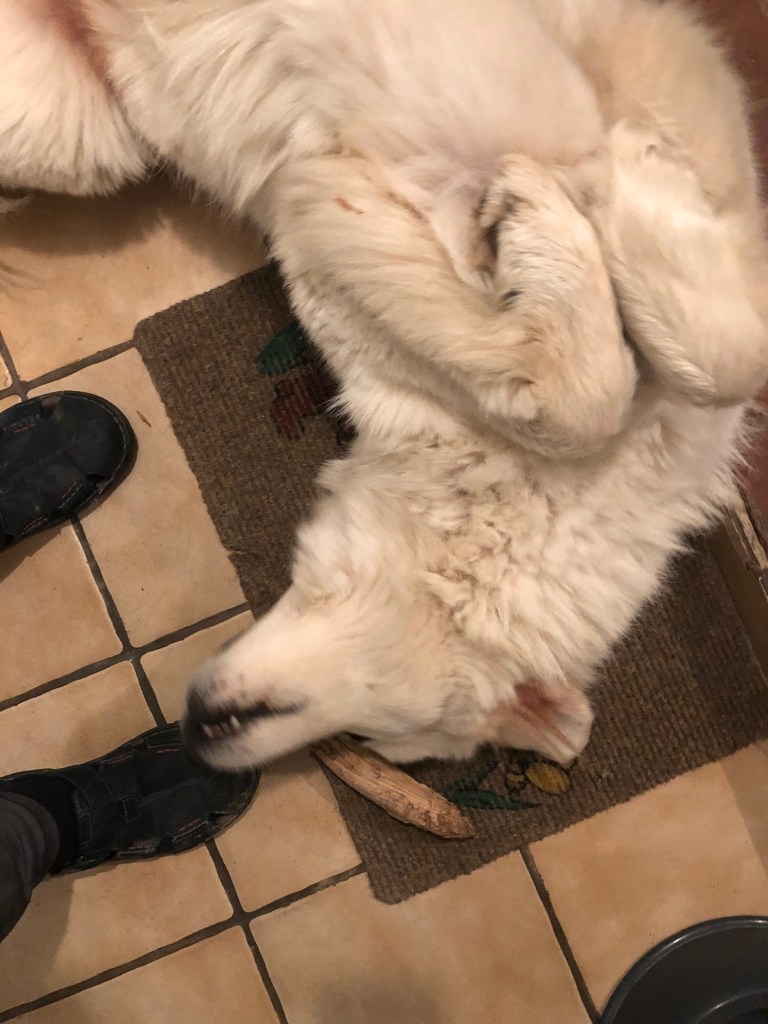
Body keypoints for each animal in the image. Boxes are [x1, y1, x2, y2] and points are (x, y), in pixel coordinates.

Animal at [1, 0, 767, 767]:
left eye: (376, 742)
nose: (194, 739)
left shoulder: (336, 269)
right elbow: (693, 363)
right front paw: (596, 185)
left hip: (84, 131)